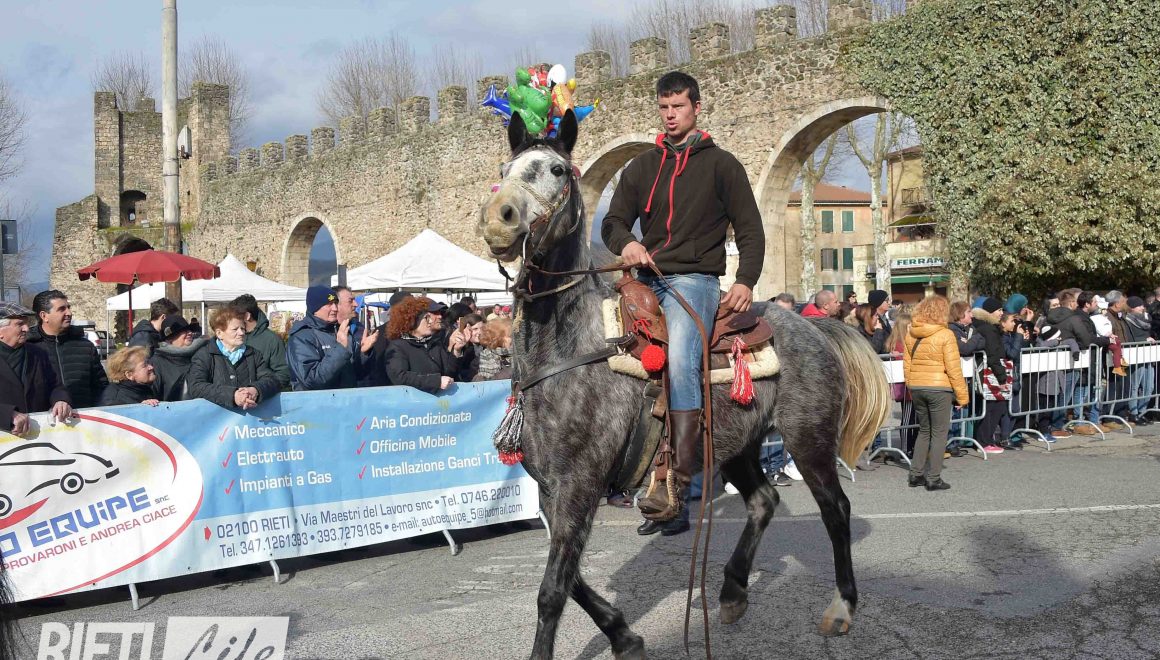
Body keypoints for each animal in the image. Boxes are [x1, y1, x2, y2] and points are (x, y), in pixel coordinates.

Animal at [478, 109, 891, 659]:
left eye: (557, 170)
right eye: (506, 167)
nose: (497, 218)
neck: (567, 350)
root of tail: (814, 326)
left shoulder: (578, 486)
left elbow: (552, 592)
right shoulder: (552, 491)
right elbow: (574, 580)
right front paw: (625, 635)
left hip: (809, 441)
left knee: (835, 510)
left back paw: (842, 607)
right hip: (736, 445)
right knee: (764, 501)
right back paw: (733, 591)